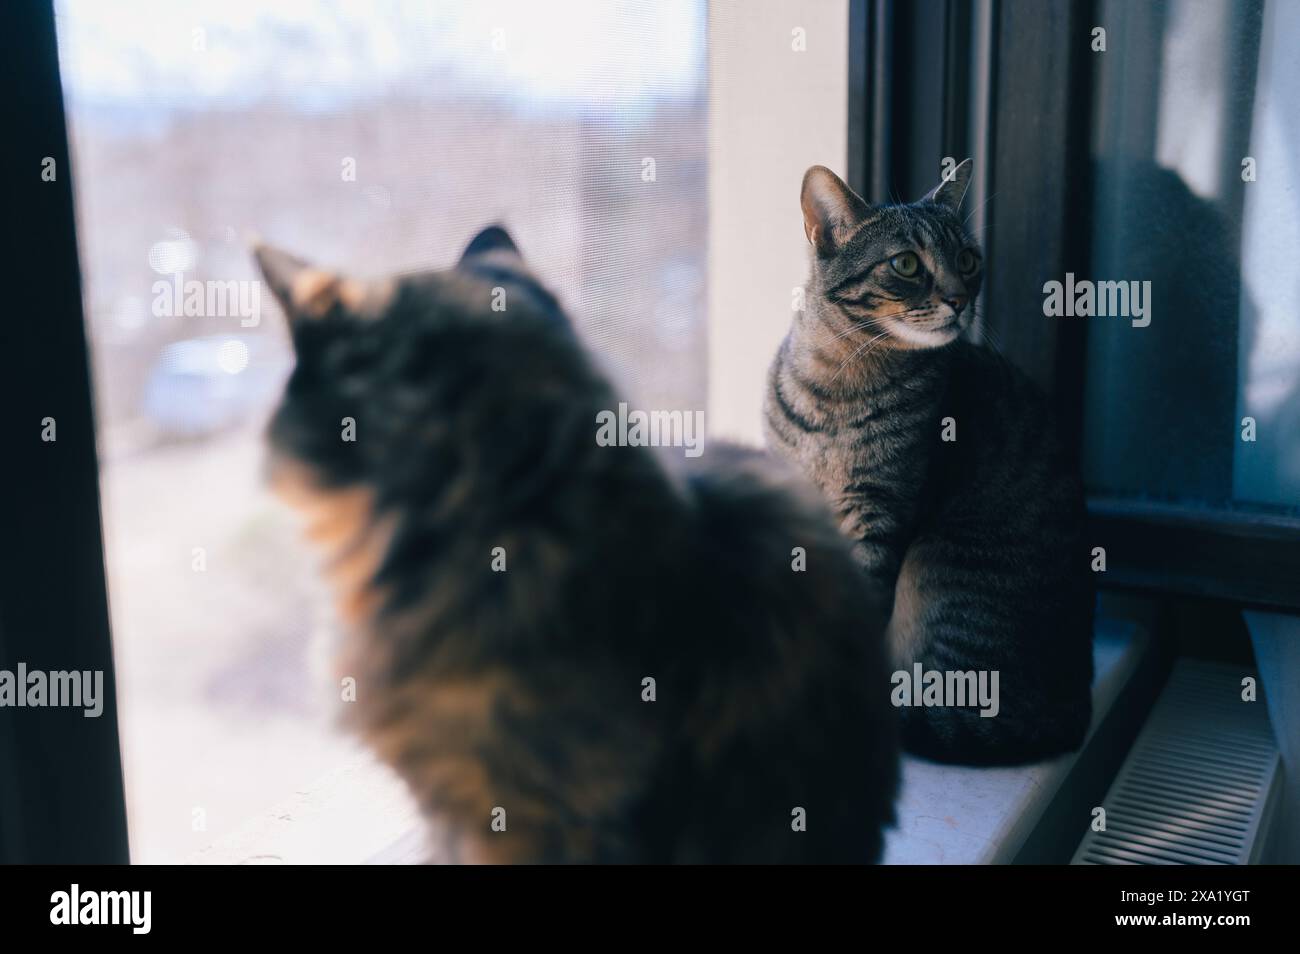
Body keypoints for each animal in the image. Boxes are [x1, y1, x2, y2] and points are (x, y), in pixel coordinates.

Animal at [764, 160, 1092, 764]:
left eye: (967, 260)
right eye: (906, 263)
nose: (960, 298)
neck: (837, 385)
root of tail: (1074, 708)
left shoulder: (881, 512)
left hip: (948, 579)